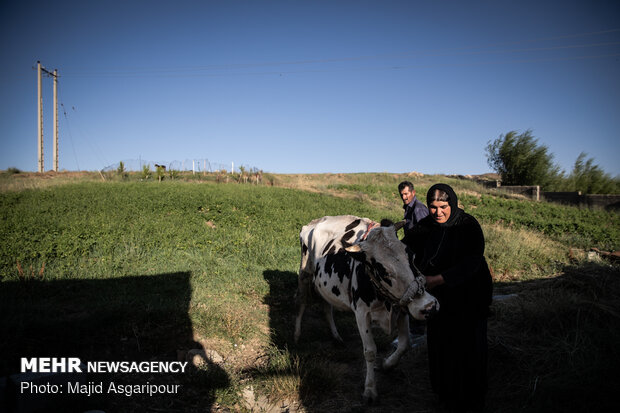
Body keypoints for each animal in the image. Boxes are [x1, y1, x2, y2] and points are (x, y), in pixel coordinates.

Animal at [294, 214, 436, 400]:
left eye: (412, 255)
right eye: (383, 271)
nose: (429, 306)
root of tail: (316, 221)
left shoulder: (402, 307)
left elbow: (405, 343)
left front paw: (387, 364)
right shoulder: (361, 313)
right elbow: (370, 351)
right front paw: (369, 389)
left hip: (325, 283)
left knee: (326, 306)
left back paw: (336, 337)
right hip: (304, 273)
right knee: (301, 301)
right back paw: (297, 335)